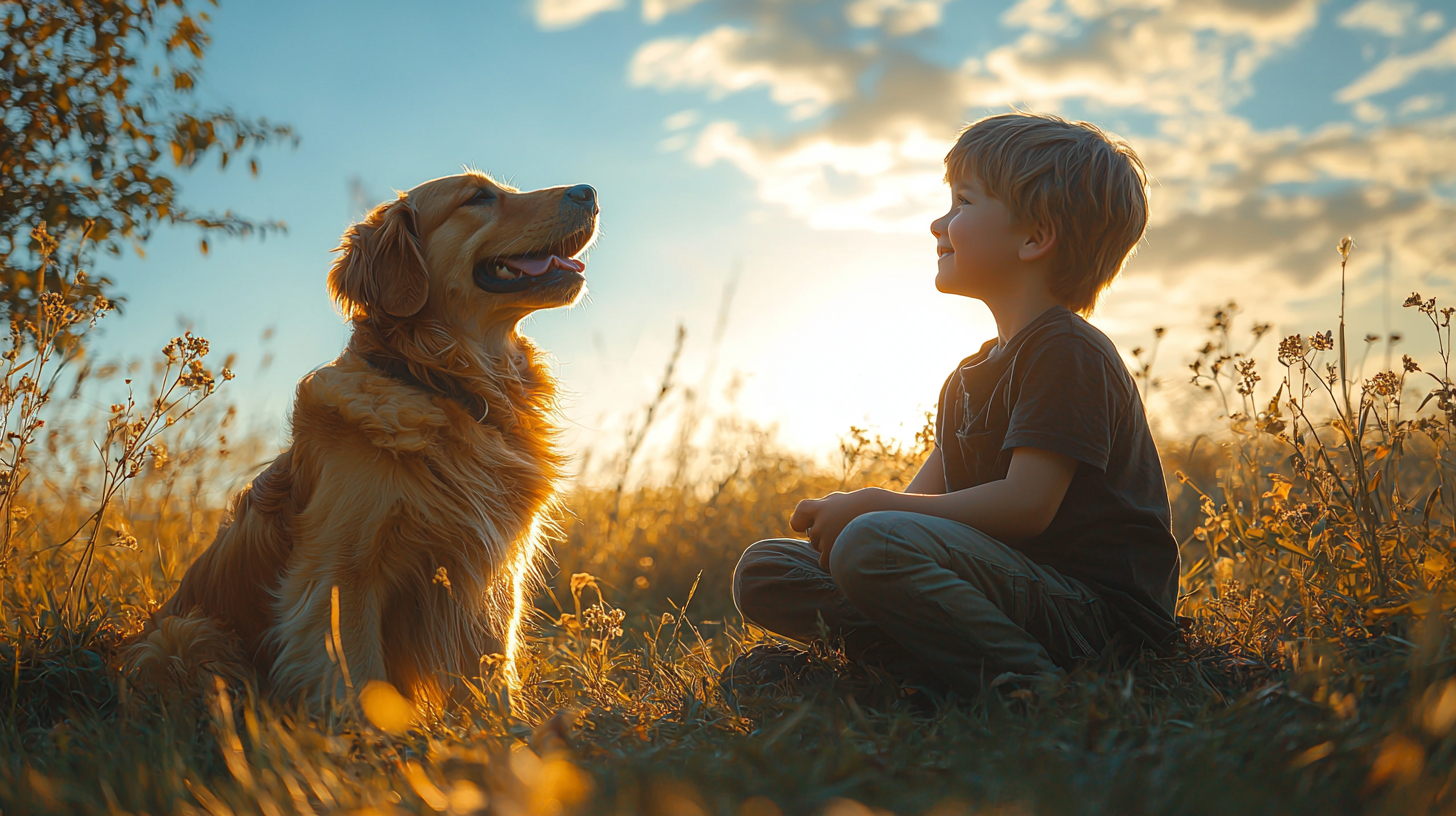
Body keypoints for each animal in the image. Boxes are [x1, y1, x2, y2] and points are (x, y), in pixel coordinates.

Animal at [126, 171, 596, 708]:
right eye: (478, 196)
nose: (588, 192)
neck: (444, 384)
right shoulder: (339, 573)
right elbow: (358, 676)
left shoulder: (491, 574)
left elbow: (495, 668)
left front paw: (506, 725)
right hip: (185, 634)